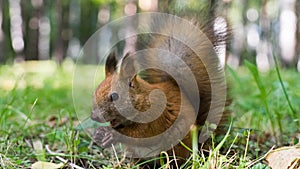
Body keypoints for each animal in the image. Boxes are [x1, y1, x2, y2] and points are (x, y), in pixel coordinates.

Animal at [90, 14, 231, 165]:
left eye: (114, 96)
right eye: (94, 93)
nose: (93, 116)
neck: (143, 100)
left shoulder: (156, 115)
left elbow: (141, 134)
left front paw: (111, 134)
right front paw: (99, 134)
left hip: (176, 146)